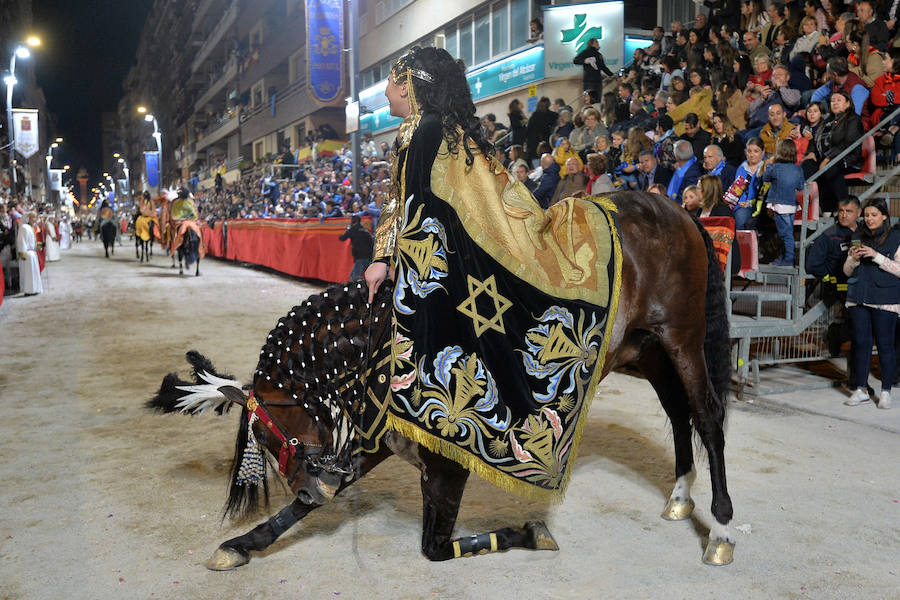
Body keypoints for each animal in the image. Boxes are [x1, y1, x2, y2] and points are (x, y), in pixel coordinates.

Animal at [148, 191, 736, 568]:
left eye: (275, 434)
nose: (316, 487)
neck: (388, 349)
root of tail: (681, 211)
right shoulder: (374, 442)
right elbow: (293, 514)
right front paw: (242, 544)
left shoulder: (446, 465)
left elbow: (437, 547)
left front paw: (533, 530)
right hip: (646, 350)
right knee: (679, 413)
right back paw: (680, 496)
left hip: (682, 339)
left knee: (707, 417)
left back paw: (722, 530)